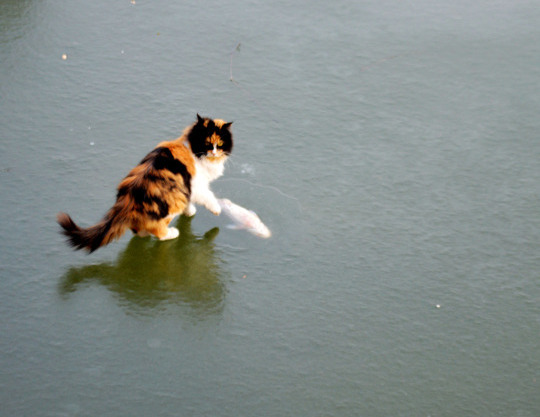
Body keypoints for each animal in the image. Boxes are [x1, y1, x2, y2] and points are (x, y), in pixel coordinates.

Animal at [57, 114, 233, 252]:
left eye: (220, 144)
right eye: (207, 143)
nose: (214, 152)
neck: (192, 149)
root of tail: (127, 201)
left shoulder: (188, 188)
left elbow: (190, 201)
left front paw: (189, 211)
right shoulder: (196, 185)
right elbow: (208, 197)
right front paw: (215, 209)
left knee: (138, 230)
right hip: (172, 204)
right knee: (158, 232)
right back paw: (172, 233)